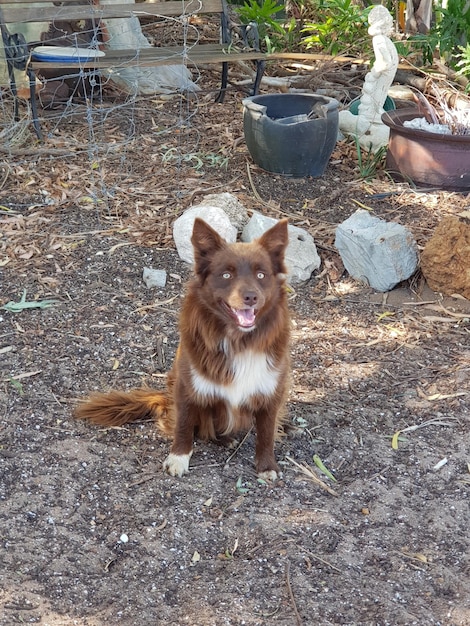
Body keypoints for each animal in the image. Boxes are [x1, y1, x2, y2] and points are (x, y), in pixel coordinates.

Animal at [75, 216, 290, 478]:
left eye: (261, 274)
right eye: (226, 275)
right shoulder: (188, 386)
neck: (238, 339)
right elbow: (184, 425)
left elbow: (267, 432)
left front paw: (267, 466)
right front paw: (178, 458)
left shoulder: (271, 390)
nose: (251, 297)